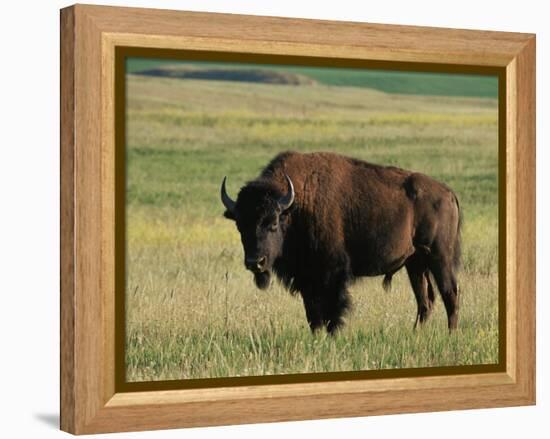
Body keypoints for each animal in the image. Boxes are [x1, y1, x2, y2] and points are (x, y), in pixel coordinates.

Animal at [220, 151, 462, 334]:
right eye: (240, 225)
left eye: (272, 223)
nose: (255, 262)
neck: (296, 206)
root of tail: (448, 193)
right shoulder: (307, 278)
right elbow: (312, 313)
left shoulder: (331, 274)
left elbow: (332, 309)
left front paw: (333, 334)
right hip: (415, 264)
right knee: (425, 301)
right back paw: (415, 333)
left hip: (439, 257)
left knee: (450, 293)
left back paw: (451, 334)